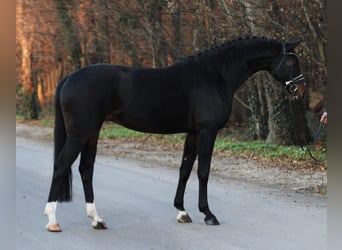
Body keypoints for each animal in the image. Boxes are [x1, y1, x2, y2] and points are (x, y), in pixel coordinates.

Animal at [44, 36, 306, 231]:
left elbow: (185, 170)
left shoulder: (192, 133)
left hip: (92, 133)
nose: (301, 91)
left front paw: (182, 211)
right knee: (61, 166)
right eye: (292, 63)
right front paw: (208, 214)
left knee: (85, 169)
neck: (214, 75)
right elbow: (203, 172)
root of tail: (70, 77)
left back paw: (97, 219)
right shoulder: (207, 132)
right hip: (80, 134)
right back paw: (53, 220)